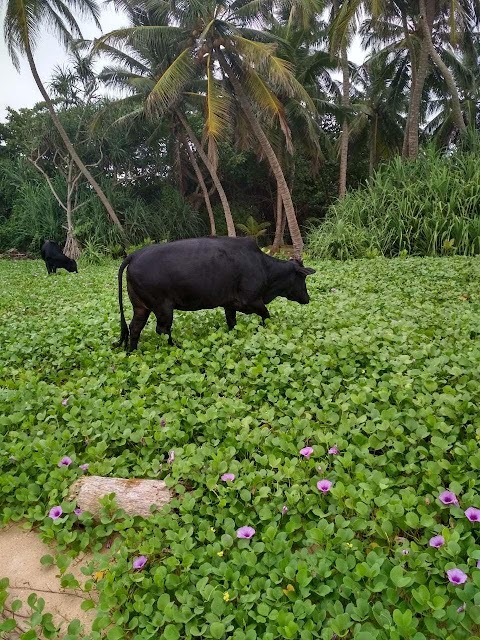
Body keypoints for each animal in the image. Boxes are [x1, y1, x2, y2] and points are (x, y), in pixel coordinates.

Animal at [113, 238, 316, 352]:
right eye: (302, 278)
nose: (307, 299)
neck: (264, 267)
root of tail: (134, 255)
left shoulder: (229, 304)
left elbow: (232, 323)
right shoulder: (251, 301)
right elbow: (266, 315)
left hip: (141, 307)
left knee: (135, 328)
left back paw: (132, 352)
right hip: (163, 307)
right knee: (161, 329)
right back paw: (176, 347)